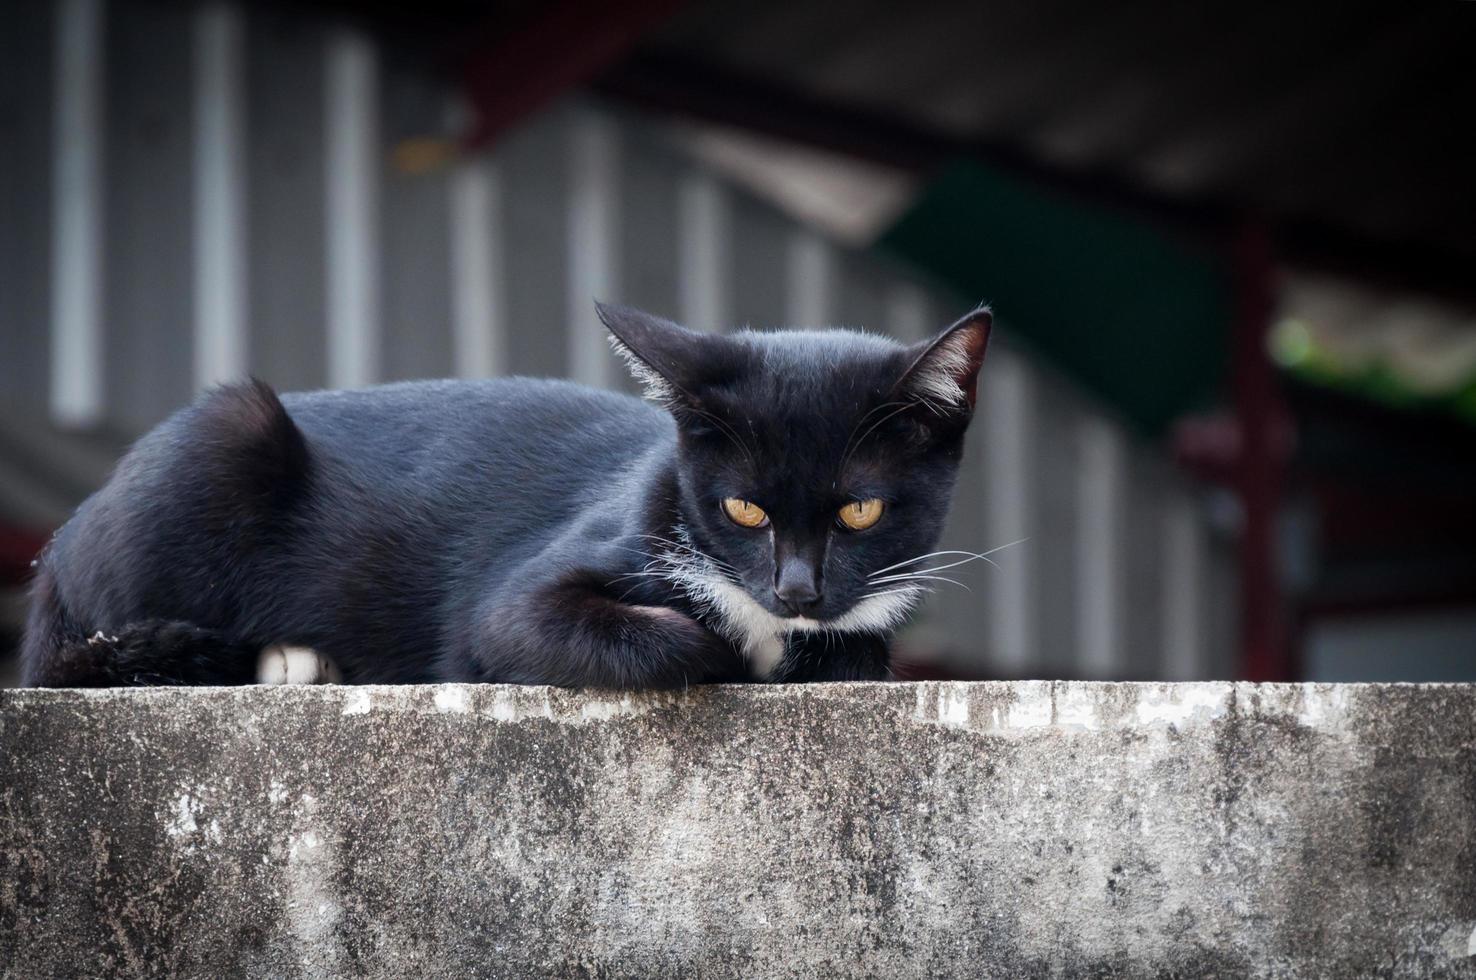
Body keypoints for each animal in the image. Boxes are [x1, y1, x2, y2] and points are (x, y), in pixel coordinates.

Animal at [20, 302, 991, 684]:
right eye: (743, 508)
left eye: (860, 509)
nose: (796, 590)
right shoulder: (516, 601)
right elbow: (528, 626)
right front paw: (721, 650)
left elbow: (856, 651)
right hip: (222, 440)